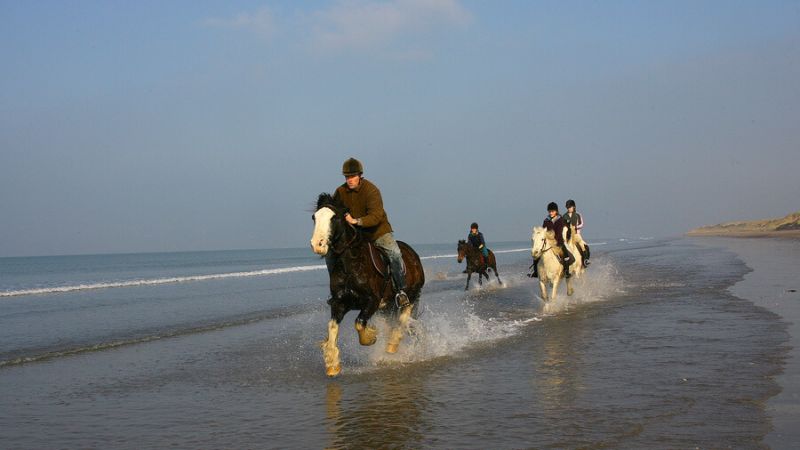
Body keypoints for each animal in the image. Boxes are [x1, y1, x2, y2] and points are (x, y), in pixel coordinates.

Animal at [310, 192, 428, 376]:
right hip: (387, 307)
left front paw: (371, 337)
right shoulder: (339, 303)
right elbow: (332, 328)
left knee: (403, 317)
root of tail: (413, 255)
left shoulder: (372, 301)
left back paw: (392, 344)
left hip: (412, 296)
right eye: (314, 217)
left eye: (334, 217)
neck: (350, 265)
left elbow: (359, 323)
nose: (318, 245)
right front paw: (332, 364)